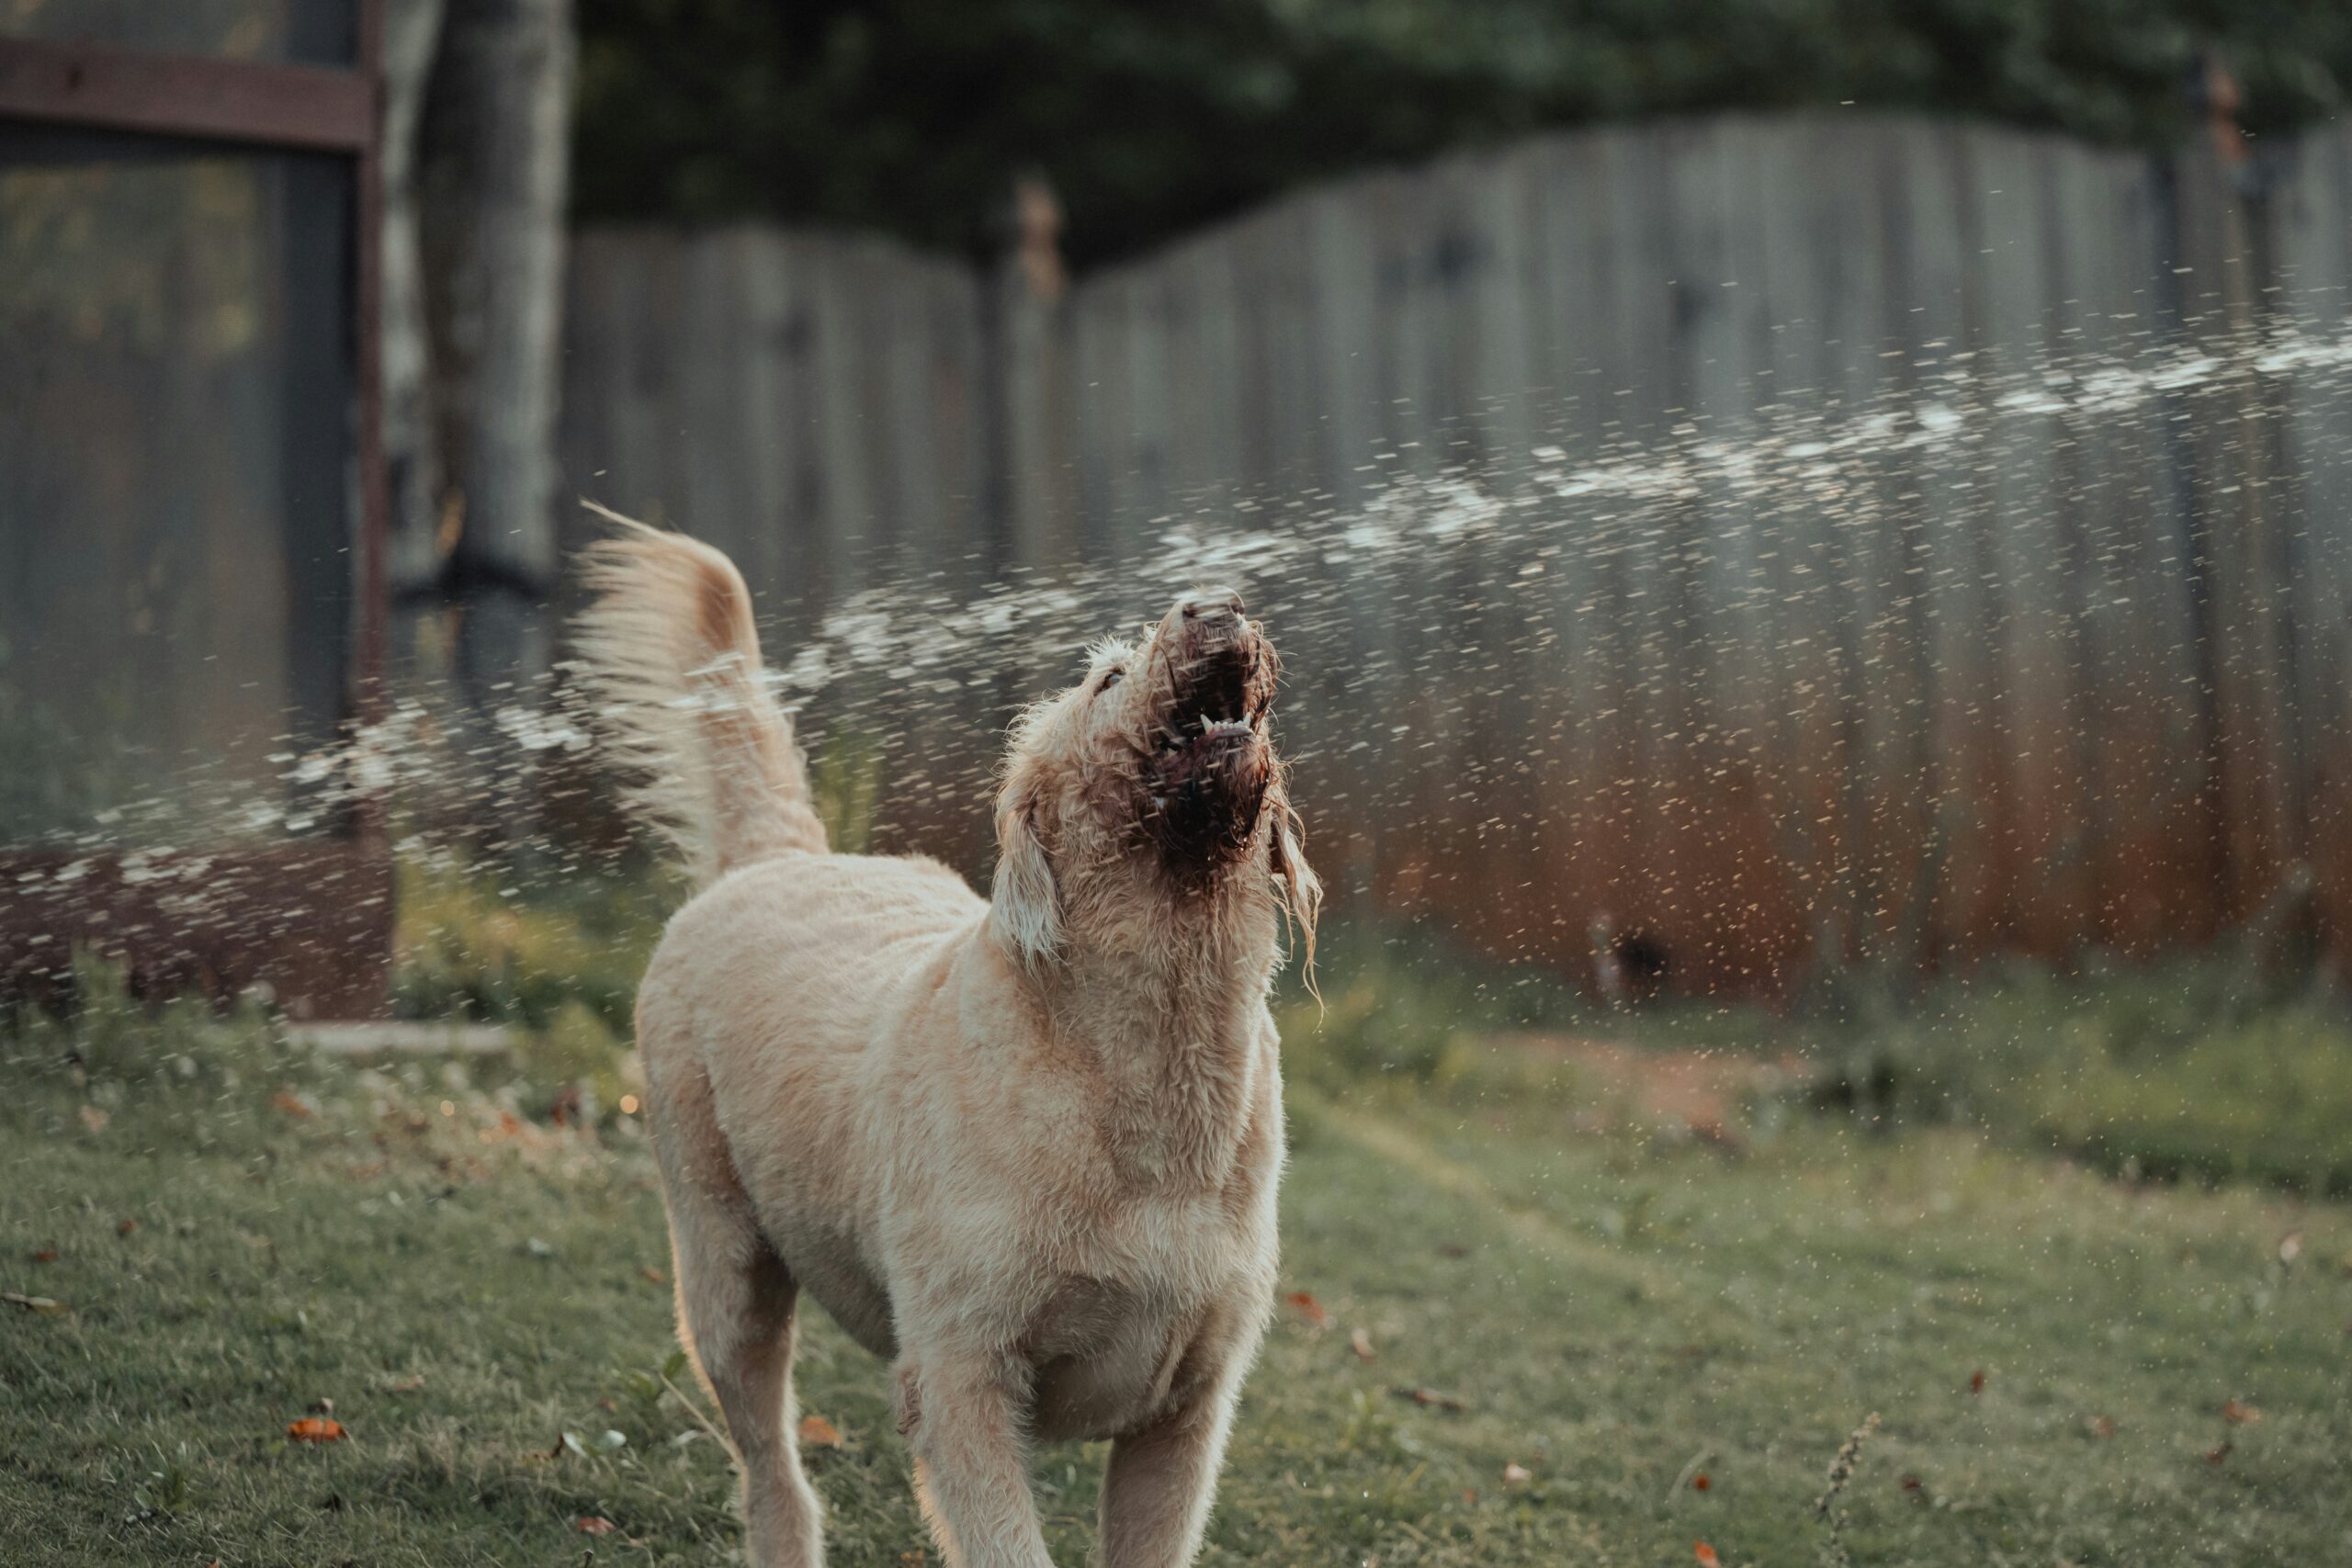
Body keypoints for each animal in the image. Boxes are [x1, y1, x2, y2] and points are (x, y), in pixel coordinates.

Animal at [564, 517, 1307, 1568]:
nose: (1220, 602)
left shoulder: (1185, 1413)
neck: (1142, 1068)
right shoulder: (963, 1381)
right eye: (1109, 677)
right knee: (769, 1461)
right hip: (722, 1271)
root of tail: (781, 857)